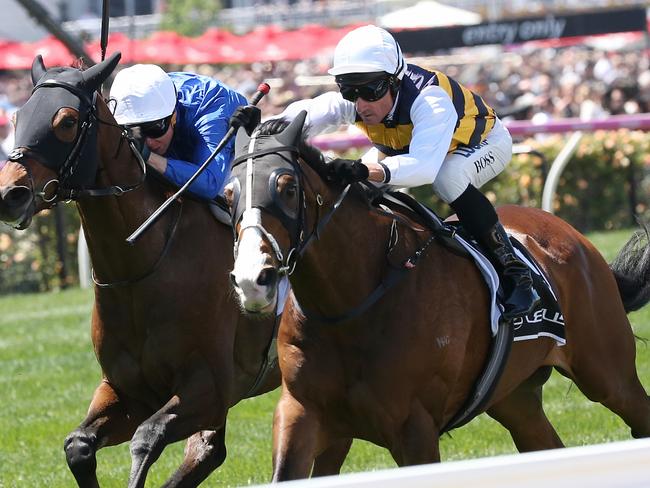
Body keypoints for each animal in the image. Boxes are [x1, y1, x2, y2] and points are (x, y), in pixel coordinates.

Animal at [0, 54, 344, 488]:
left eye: (65, 121)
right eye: (16, 118)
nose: (10, 194)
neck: (141, 267)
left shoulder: (209, 389)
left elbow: (148, 437)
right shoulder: (126, 391)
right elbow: (78, 446)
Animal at [227, 113, 648, 480]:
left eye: (287, 187)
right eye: (229, 194)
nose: (252, 279)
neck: (348, 307)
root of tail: (572, 235)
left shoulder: (414, 428)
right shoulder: (304, 414)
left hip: (607, 374)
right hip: (515, 397)